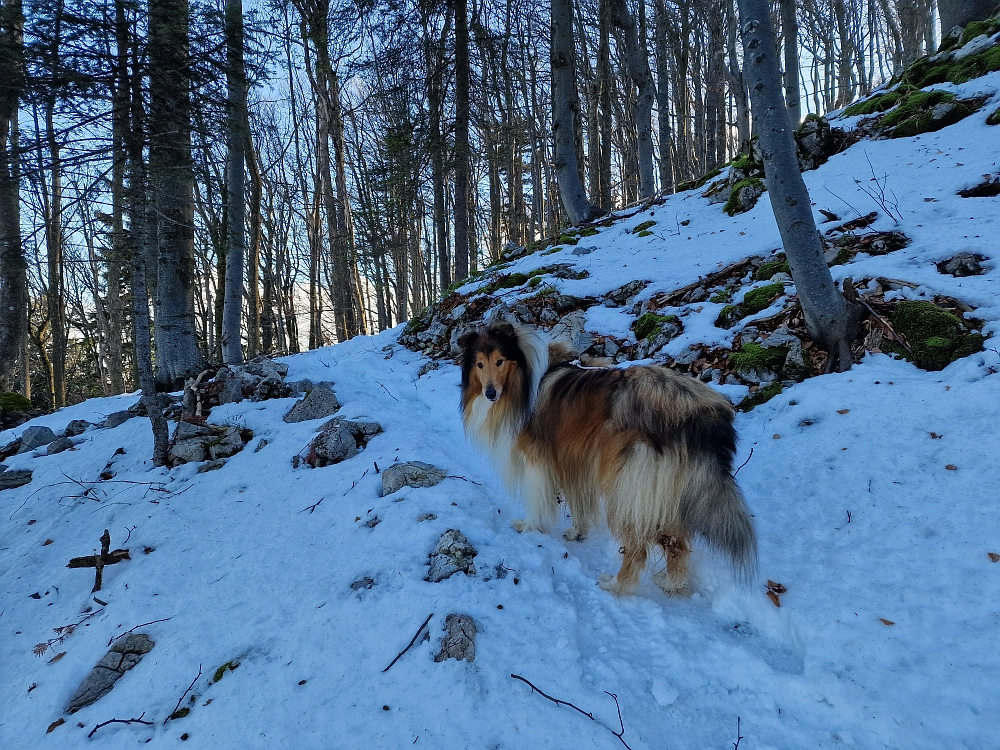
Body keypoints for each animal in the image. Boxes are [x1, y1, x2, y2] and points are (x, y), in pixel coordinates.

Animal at [460, 320, 756, 596]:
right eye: (479, 364)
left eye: (499, 361)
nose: (489, 393)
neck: (526, 374)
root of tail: (697, 414)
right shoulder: (572, 459)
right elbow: (578, 501)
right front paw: (577, 532)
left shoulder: (538, 461)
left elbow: (537, 499)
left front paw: (529, 526)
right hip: (664, 492)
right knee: (677, 543)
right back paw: (671, 583)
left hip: (628, 489)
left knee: (638, 548)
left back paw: (616, 585)